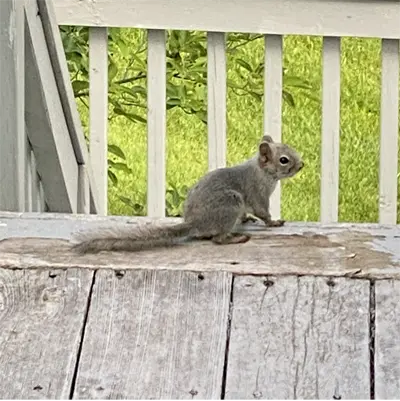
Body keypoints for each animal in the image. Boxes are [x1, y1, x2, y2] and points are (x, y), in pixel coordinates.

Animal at [72, 134, 304, 253]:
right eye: (284, 160)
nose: (301, 165)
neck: (263, 172)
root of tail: (196, 223)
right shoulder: (257, 192)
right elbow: (262, 211)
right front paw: (273, 222)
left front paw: (247, 218)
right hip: (230, 203)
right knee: (217, 239)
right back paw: (235, 238)